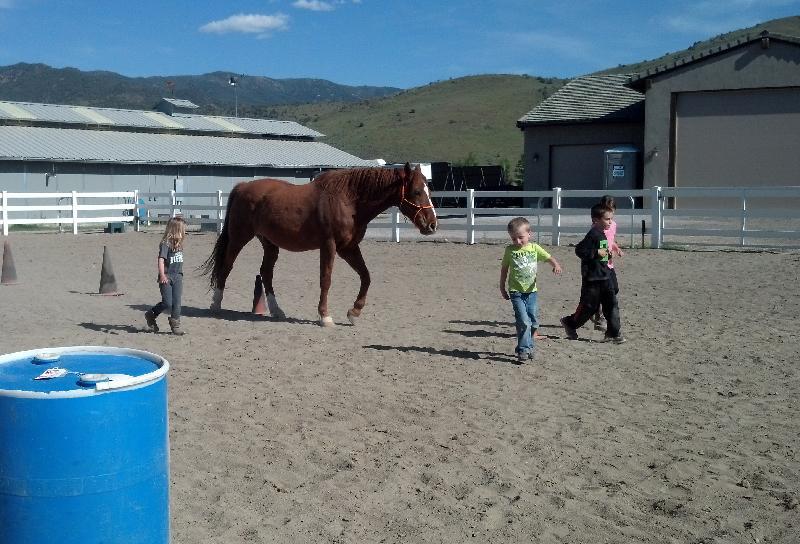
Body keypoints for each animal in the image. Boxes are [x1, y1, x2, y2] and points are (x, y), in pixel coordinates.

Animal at [201, 163, 438, 326]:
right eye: (417, 191)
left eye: (428, 189)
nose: (432, 224)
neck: (348, 199)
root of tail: (242, 186)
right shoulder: (329, 246)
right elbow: (326, 280)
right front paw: (325, 317)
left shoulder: (348, 248)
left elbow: (366, 277)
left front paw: (354, 313)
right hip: (239, 238)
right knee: (226, 267)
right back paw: (215, 304)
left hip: (270, 244)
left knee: (266, 273)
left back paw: (277, 311)